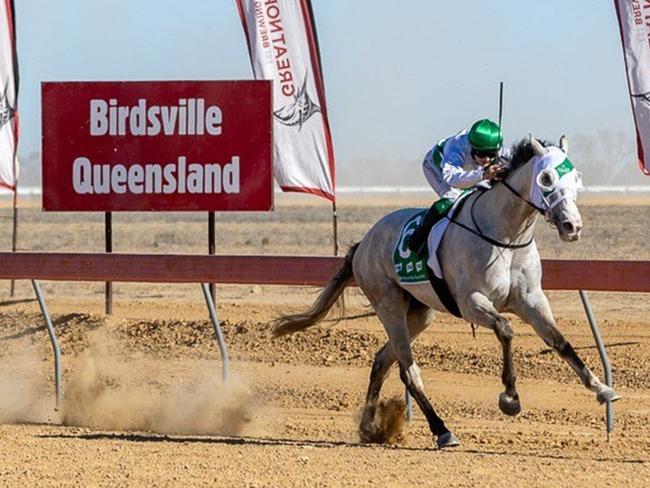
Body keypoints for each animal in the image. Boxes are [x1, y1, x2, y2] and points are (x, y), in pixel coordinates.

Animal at [272, 135, 616, 448]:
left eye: (577, 177)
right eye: (546, 178)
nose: (572, 226)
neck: (505, 235)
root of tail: (364, 242)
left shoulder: (531, 300)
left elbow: (560, 342)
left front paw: (601, 388)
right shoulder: (471, 302)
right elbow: (506, 330)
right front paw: (510, 398)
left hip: (418, 314)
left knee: (383, 360)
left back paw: (369, 427)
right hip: (388, 305)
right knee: (408, 370)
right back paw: (441, 430)